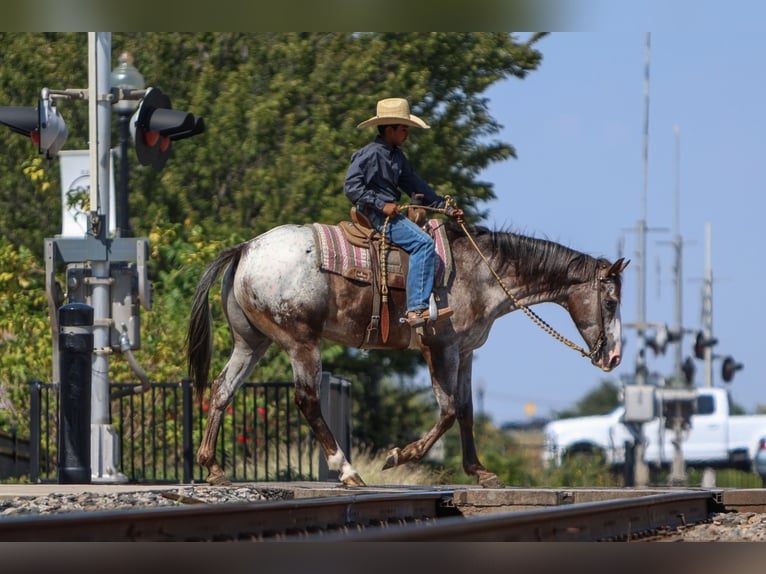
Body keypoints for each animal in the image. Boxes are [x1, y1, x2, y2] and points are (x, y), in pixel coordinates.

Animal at [188, 220, 632, 490]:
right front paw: (399, 455)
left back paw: (212, 467)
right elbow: (448, 410)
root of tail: (246, 248)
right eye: (611, 302)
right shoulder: (440, 347)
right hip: (301, 341)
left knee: (223, 388)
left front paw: (480, 472)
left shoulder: (465, 352)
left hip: (252, 341)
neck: (479, 274)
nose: (613, 358)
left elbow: (466, 410)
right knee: (307, 400)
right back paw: (348, 471)